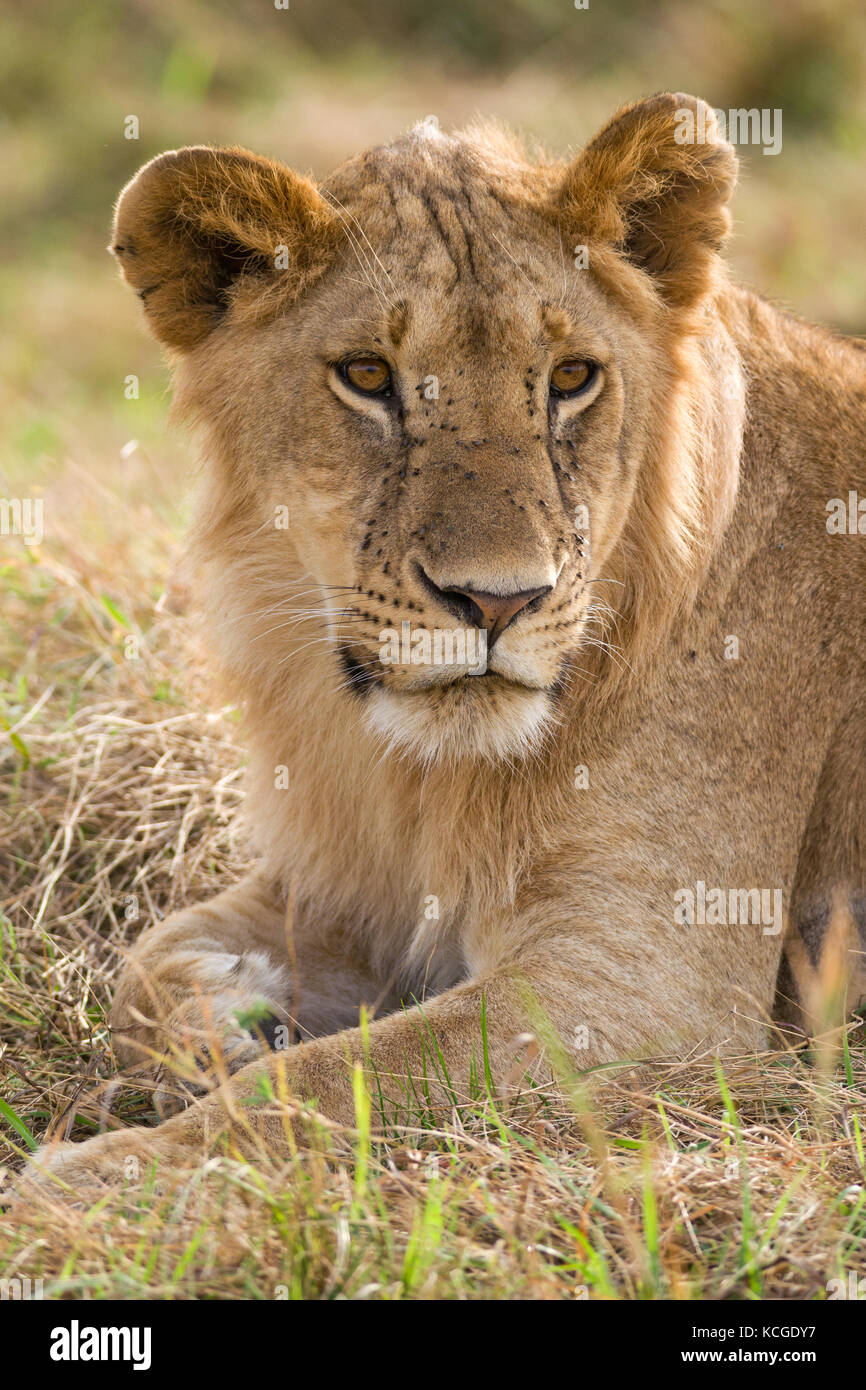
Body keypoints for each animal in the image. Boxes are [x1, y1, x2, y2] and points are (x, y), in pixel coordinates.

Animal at [30, 93, 866, 1187]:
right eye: (367, 376)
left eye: (570, 377)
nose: (496, 600)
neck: (427, 779)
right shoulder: (356, 883)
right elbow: (149, 961)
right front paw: (232, 1013)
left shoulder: (646, 984)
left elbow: (324, 1084)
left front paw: (98, 1183)